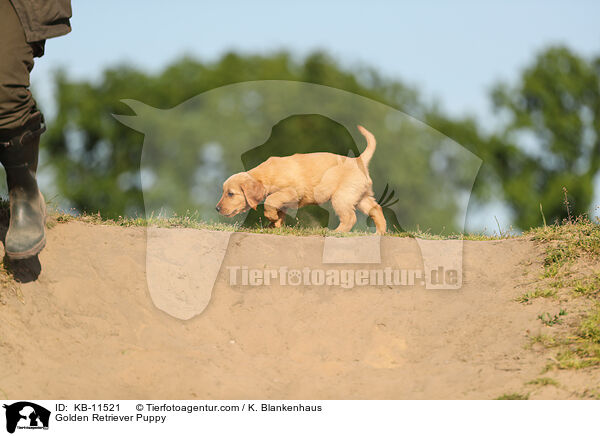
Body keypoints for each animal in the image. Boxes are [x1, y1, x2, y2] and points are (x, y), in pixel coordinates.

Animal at [218, 125, 386, 233]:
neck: (267, 174)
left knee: (350, 218)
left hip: (342, 197)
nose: (217, 208)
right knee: (376, 209)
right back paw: (380, 233)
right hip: (359, 196)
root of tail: (359, 160)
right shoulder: (285, 201)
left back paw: (336, 232)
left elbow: (270, 201)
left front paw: (271, 217)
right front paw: (275, 225)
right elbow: (279, 211)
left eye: (230, 194)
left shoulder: (291, 192)